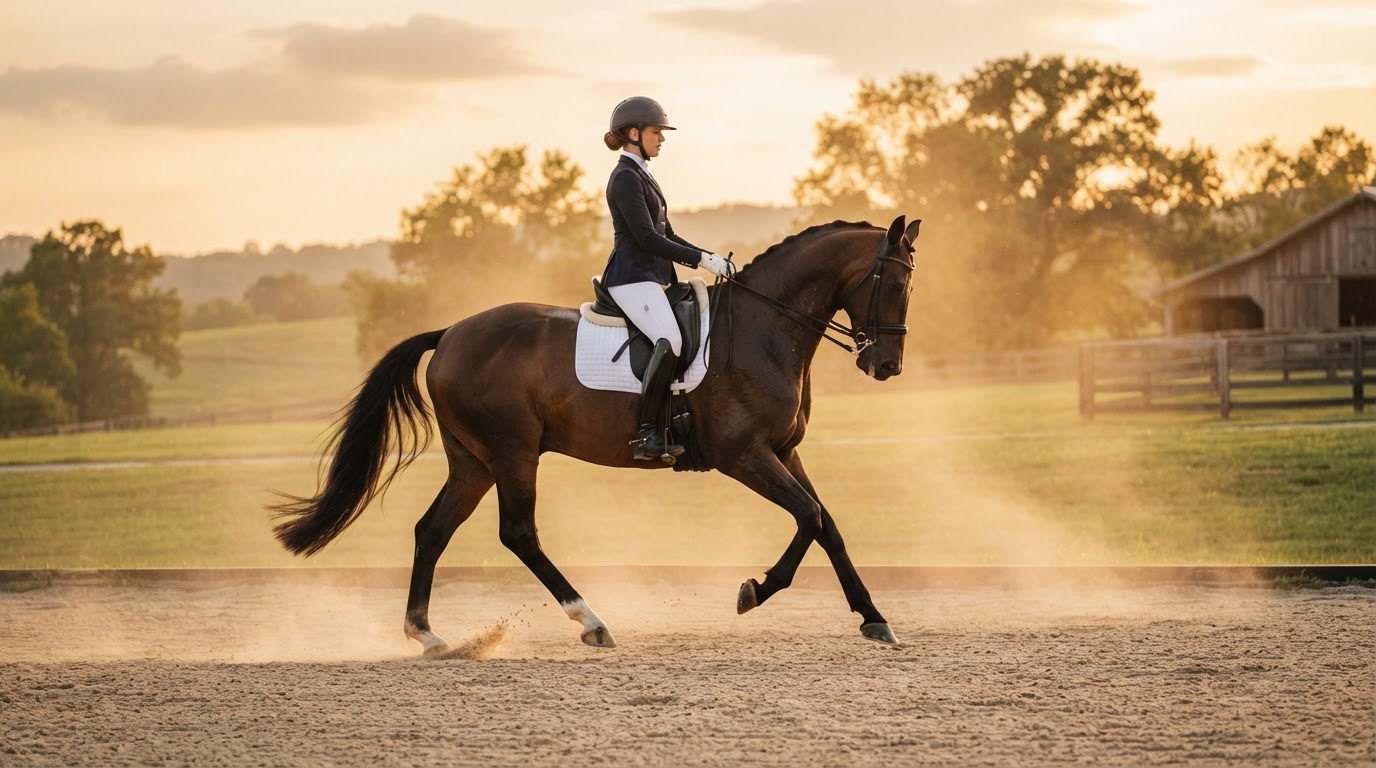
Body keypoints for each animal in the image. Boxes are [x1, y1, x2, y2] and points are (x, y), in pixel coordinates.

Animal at [271, 214, 921, 654]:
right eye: (893, 285)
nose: (887, 365)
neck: (765, 326)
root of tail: (450, 332)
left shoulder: (784, 450)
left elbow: (826, 523)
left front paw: (873, 617)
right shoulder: (745, 455)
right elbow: (807, 517)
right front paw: (754, 591)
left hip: (473, 462)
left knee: (432, 531)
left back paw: (428, 635)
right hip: (512, 453)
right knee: (518, 533)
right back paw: (591, 621)